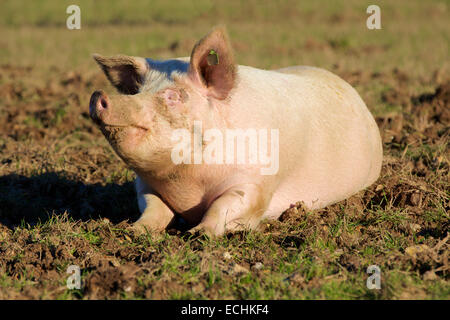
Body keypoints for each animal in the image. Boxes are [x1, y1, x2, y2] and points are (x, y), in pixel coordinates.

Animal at [89, 27, 384, 236]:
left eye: (174, 96)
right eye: (138, 91)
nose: (99, 95)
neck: (186, 183)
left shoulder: (256, 182)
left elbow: (226, 204)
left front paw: (199, 235)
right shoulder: (145, 184)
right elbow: (153, 207)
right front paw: (132, 231)